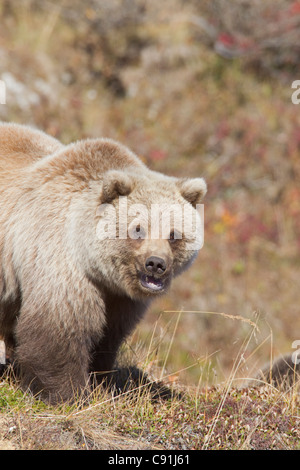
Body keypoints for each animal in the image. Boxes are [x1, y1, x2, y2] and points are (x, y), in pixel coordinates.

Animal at [0, 122, 206, 404]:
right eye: (138, 229)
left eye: (174, 234)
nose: (155, 264)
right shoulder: (60, 262)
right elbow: (59, 330)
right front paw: (67, 394)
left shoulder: (121, 299)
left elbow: (109, 337)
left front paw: (102, 381)